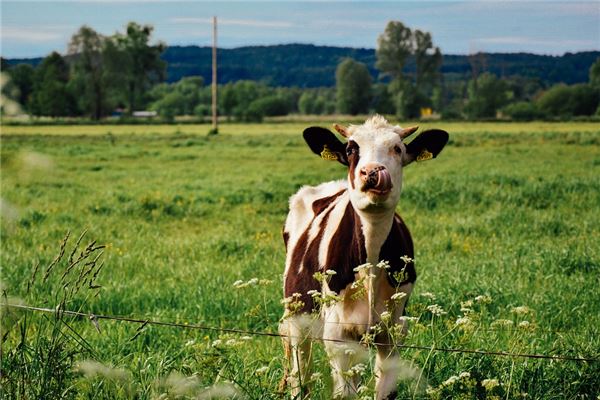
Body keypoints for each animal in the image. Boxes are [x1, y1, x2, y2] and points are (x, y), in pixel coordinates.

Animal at [278, 114, 448, 398]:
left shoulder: (393, 331)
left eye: (397, 148)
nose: (371, 172)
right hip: (297, 317)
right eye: (350, 149)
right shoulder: (338, 335)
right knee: (300, 374)